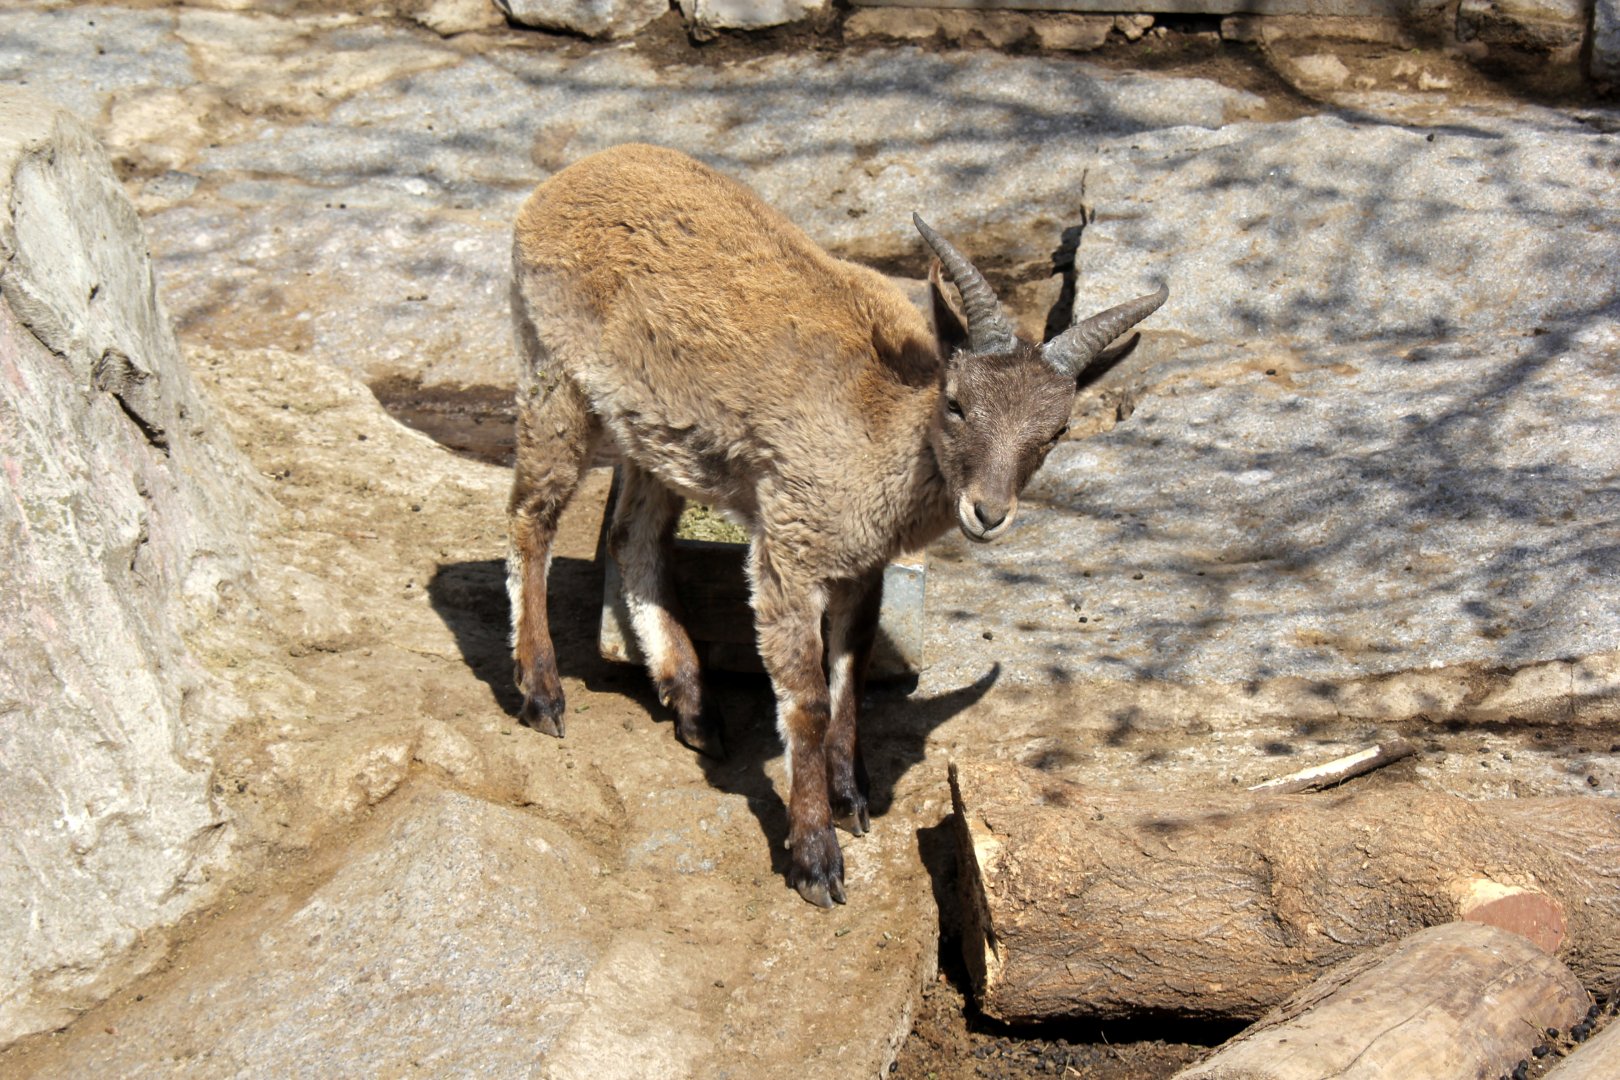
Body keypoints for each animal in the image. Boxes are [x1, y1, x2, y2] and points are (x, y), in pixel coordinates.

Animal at [507, 144, 1166, 907]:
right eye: (956, 402)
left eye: (1056, 430)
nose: (988, 512)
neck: (878, 432)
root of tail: (566, 180)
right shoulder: (790, 549)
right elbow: (809, 700)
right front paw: (815, 857)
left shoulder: (863, 565)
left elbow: (852, 676)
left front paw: (853, 798)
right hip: (554, 374)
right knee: (530, 518)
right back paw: (541, 692)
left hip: (657, 433)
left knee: (633, 537)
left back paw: (695, 709)